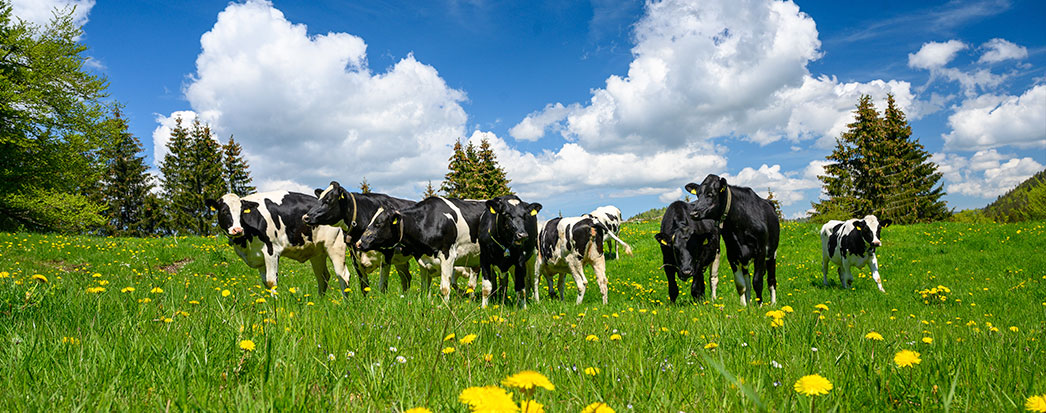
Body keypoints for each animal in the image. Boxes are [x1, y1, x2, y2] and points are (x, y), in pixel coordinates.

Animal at [203, 192, 351, 296]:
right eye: (224, 211)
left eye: (241, 212)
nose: (237, 229)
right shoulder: (259, 257)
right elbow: (265, 282)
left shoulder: (271, 251)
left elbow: (271, 281)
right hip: (317, 252)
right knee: (322, 277)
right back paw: (320, 301)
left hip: (335, 246)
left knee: (342, 275)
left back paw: (345, 303)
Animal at [351, 197, 481, 303]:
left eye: (378, 224)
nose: (359, 243)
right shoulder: (422, 259)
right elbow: (424, 287)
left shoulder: (448, 256)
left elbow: (444, 288)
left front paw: (444, 306)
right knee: (472, 284)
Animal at [686, 174, 778, 307]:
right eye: (698, 194)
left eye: (710, 194)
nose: (693, 213)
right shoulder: (733, 253)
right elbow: (741, 284)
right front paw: (744, 306)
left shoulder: (761, 251)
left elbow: (757, 280)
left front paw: (759, 305)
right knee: (747, 280)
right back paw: (749, 302)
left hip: (772, 253)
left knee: (771, 280)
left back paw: (773, 303)